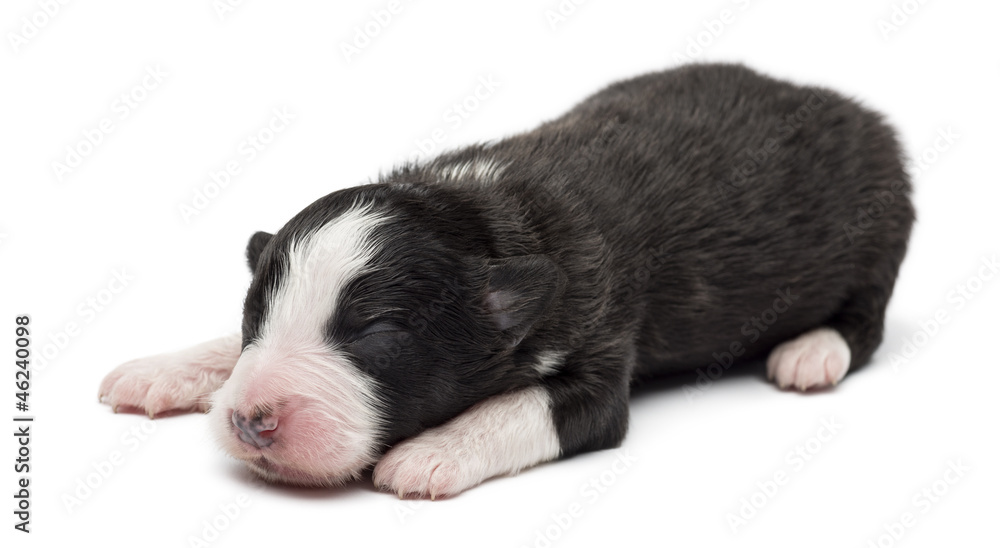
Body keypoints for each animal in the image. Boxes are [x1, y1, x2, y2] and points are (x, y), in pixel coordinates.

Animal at [99, 63, 916, 496]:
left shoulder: (599, 343)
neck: (480, 212)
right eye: (253, 318)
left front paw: (429, 453)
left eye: (379, 335)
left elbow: (525, 409)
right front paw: (165, 369)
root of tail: (854, 108)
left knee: (867, 320)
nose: (249, 419)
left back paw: (813, 351)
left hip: (883, 232)